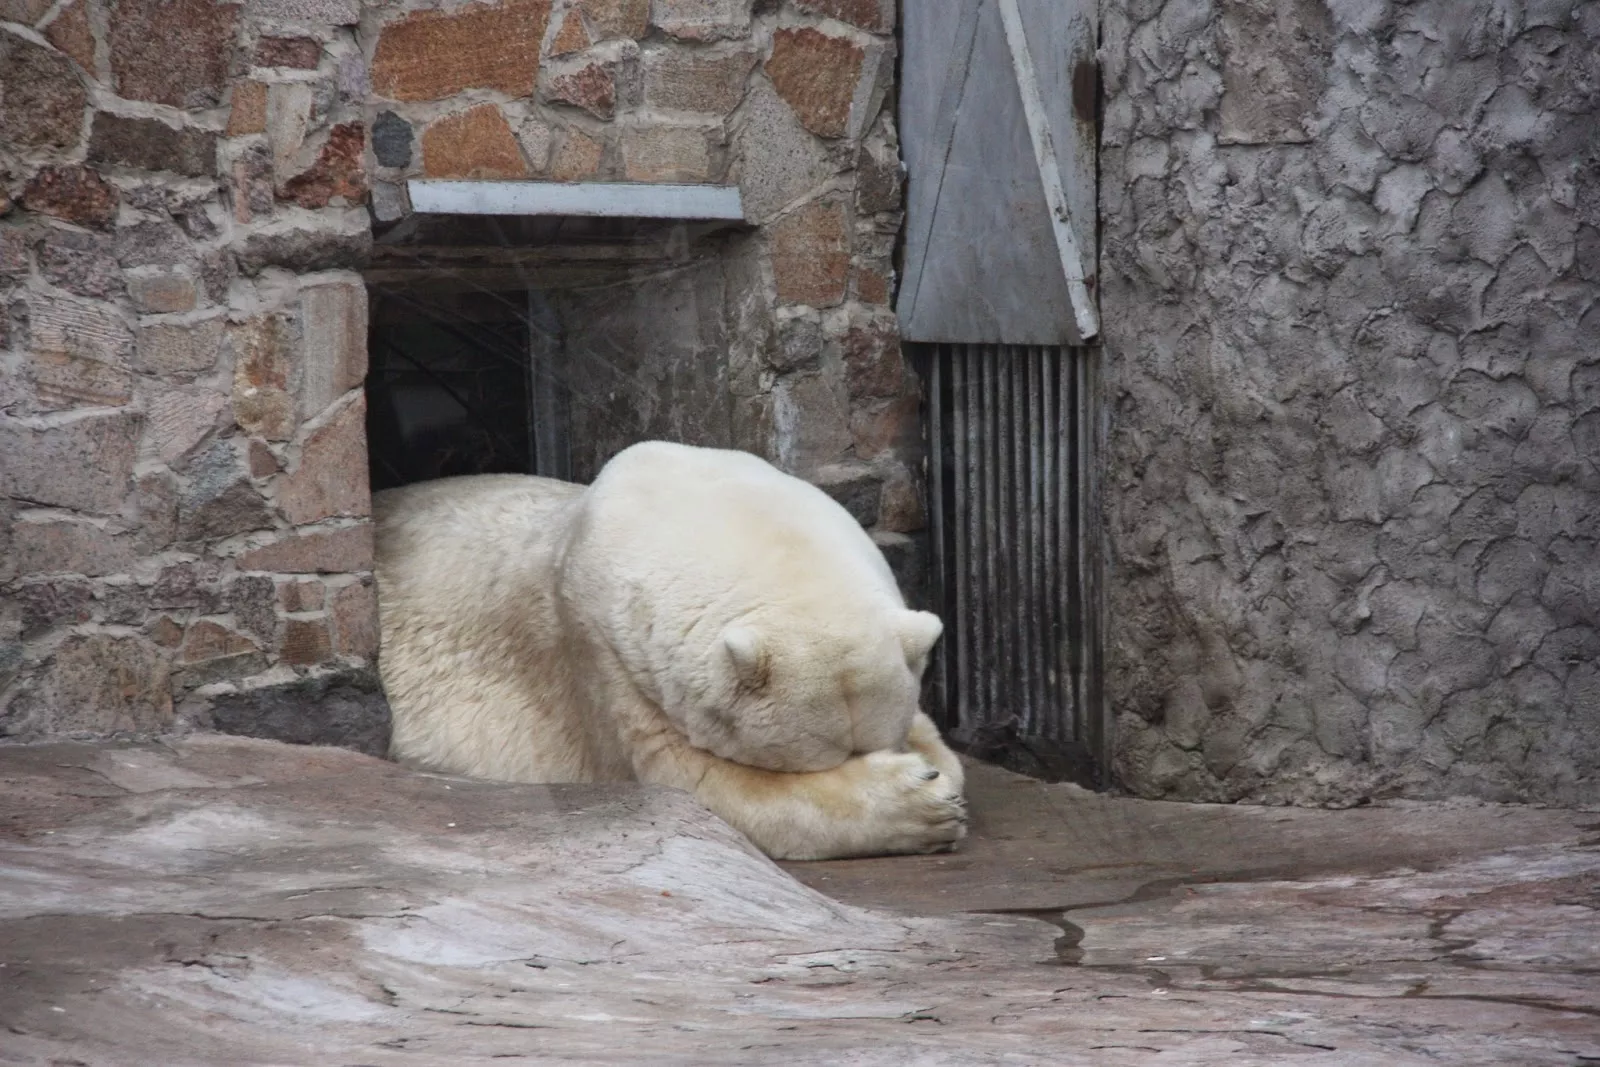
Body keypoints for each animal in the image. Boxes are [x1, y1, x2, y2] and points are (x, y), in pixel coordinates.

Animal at [374, 438, 966, 863]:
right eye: (820, 760)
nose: (879, 762)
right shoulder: (602, 654)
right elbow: (698, 784)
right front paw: (925, 803)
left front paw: (936, 767)